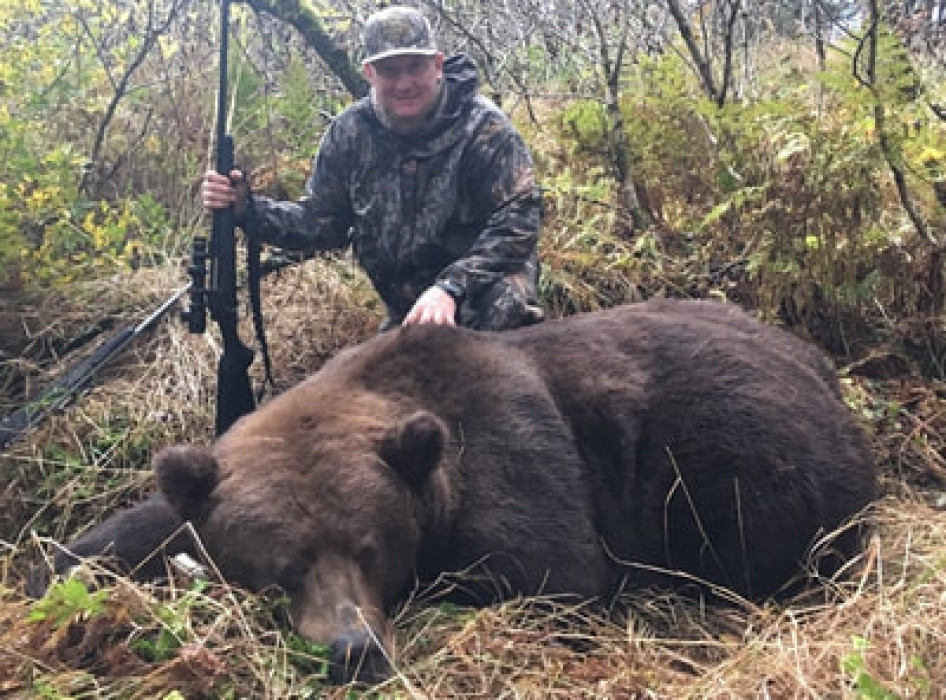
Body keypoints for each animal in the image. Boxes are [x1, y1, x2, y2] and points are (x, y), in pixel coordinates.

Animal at [33, 300, 876, 684]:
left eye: (370, 547)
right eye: (282, 565)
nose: (353, 650)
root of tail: (820, 367)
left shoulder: (515, 463)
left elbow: (550, 574)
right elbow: (130, 534)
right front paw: (58, 571)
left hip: (745, 460)